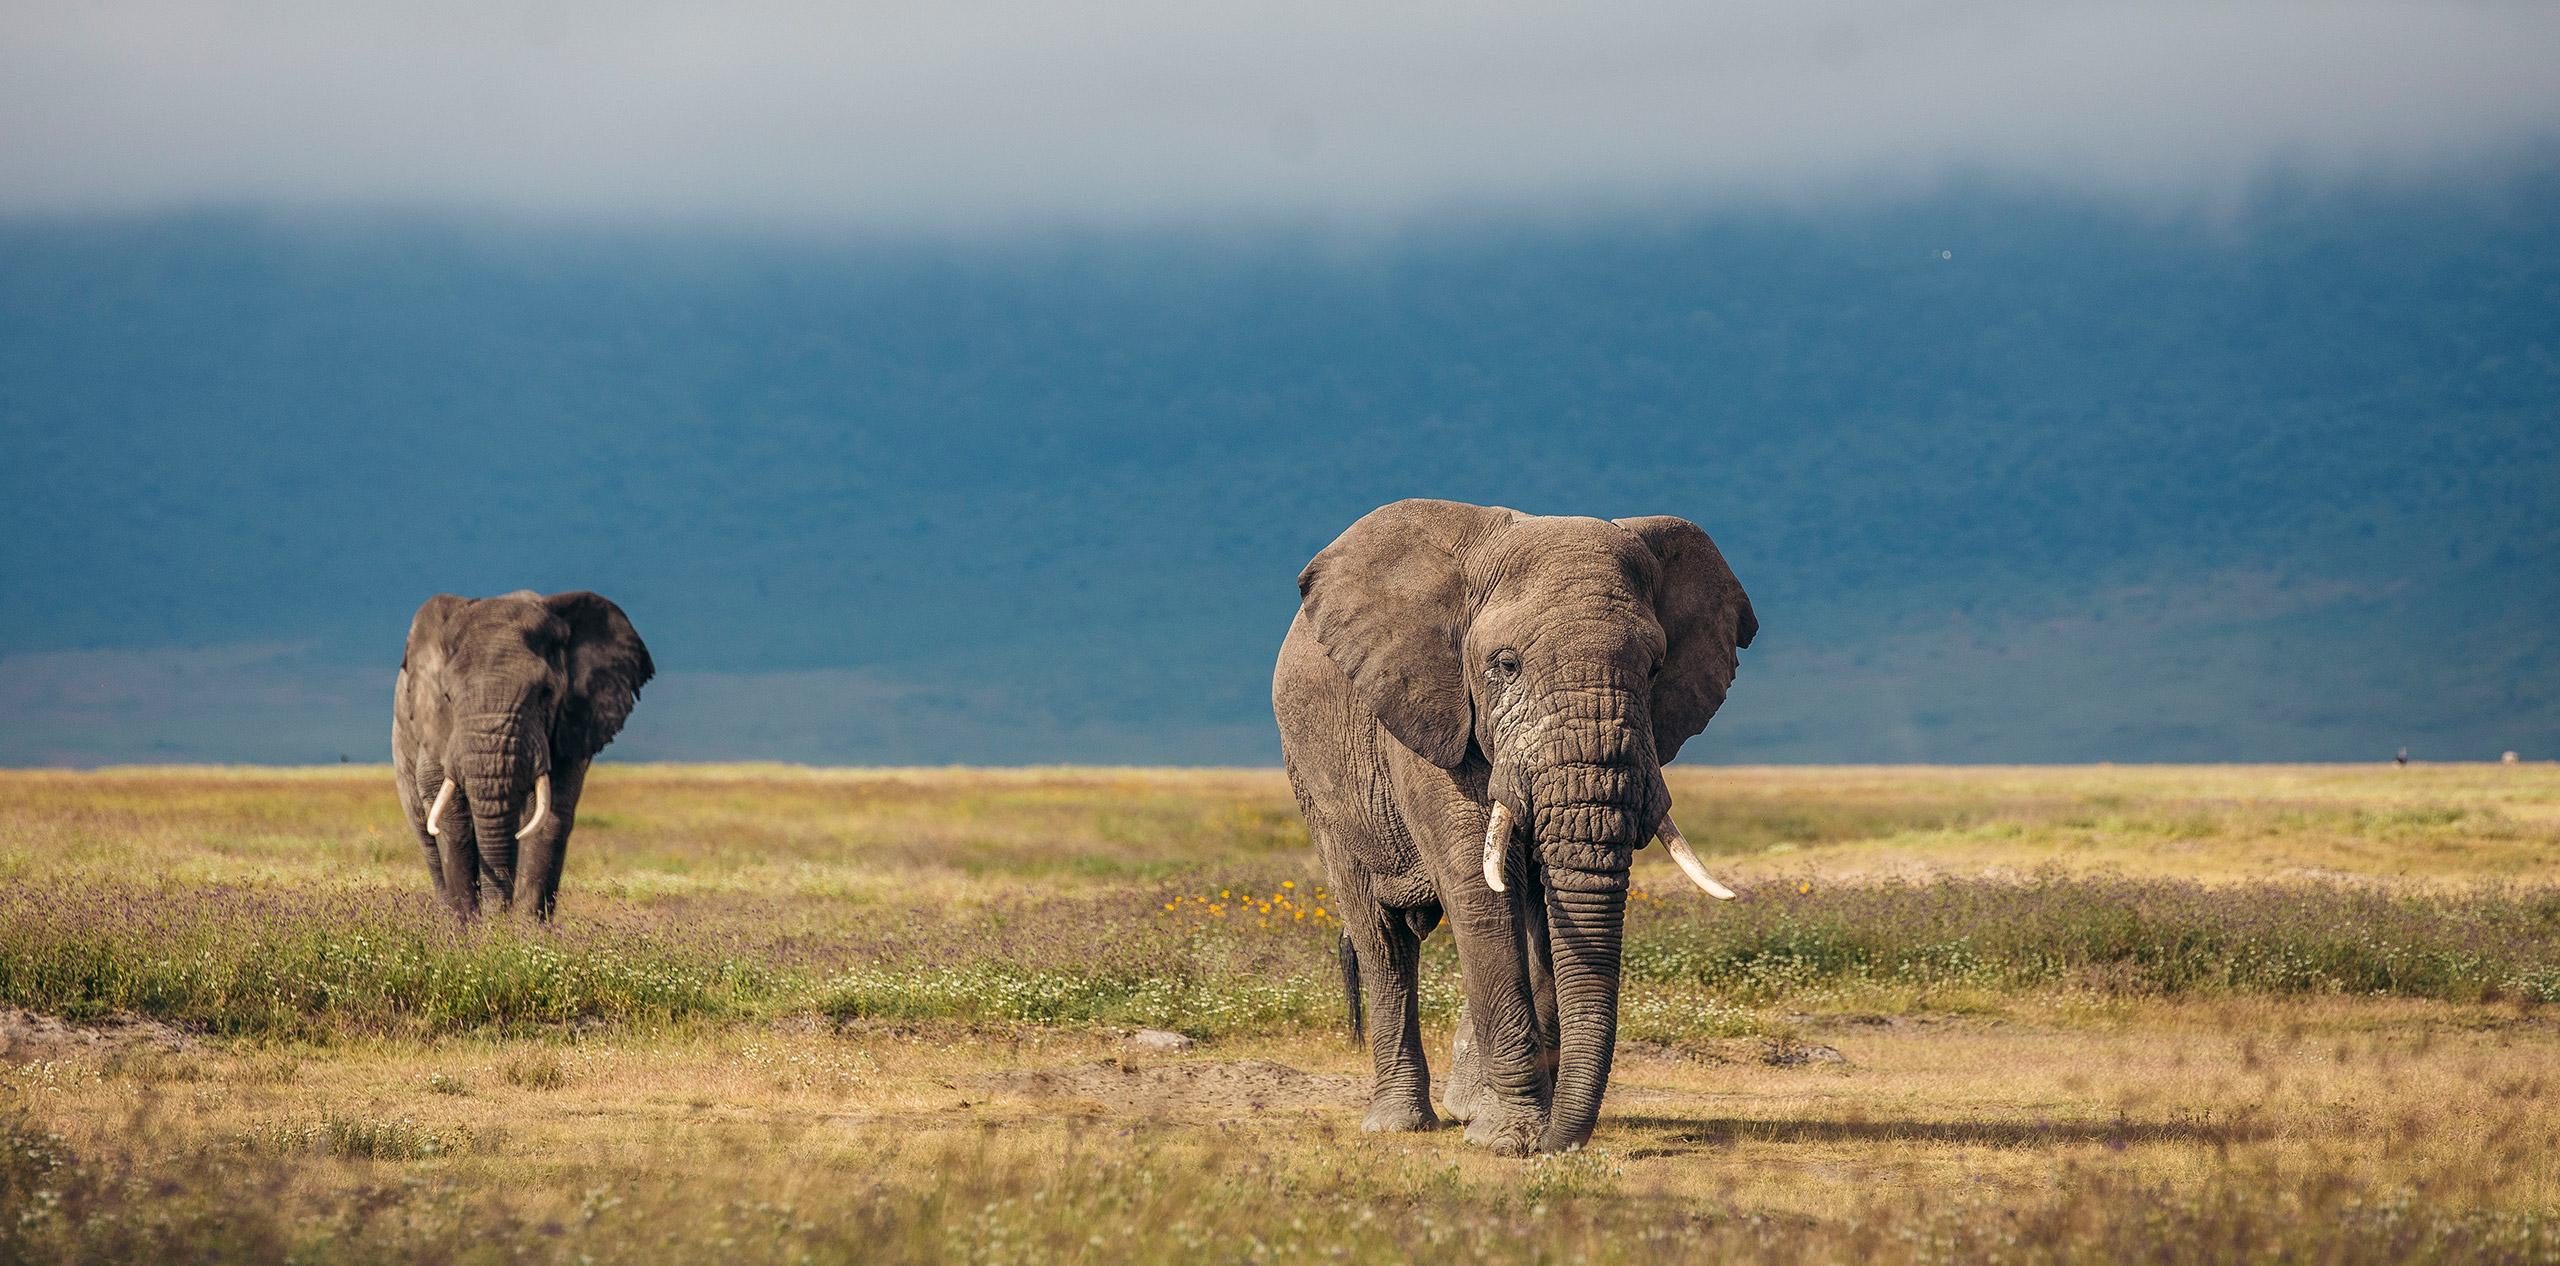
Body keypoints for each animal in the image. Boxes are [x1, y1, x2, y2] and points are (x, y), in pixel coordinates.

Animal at [393, 590, 653, 920]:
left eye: (545, 693)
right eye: (447, 697)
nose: (496, 918)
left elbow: (547, 819)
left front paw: (524, 929)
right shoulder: (435, 731)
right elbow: (452, 817)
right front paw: (466, 928)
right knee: (428, 840)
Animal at [1272, 500, 1754, 1155]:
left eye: (1655, 668)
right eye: (1506, 665)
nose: (1561, 1144)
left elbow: (1545, 911)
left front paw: (1517, 1128)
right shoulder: (1431, 717)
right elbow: (1481, 895)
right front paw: (1511, 1139)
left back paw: (1465, 1107)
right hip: (1314, 781)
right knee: (1382, 936)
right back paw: (1401, 1123)